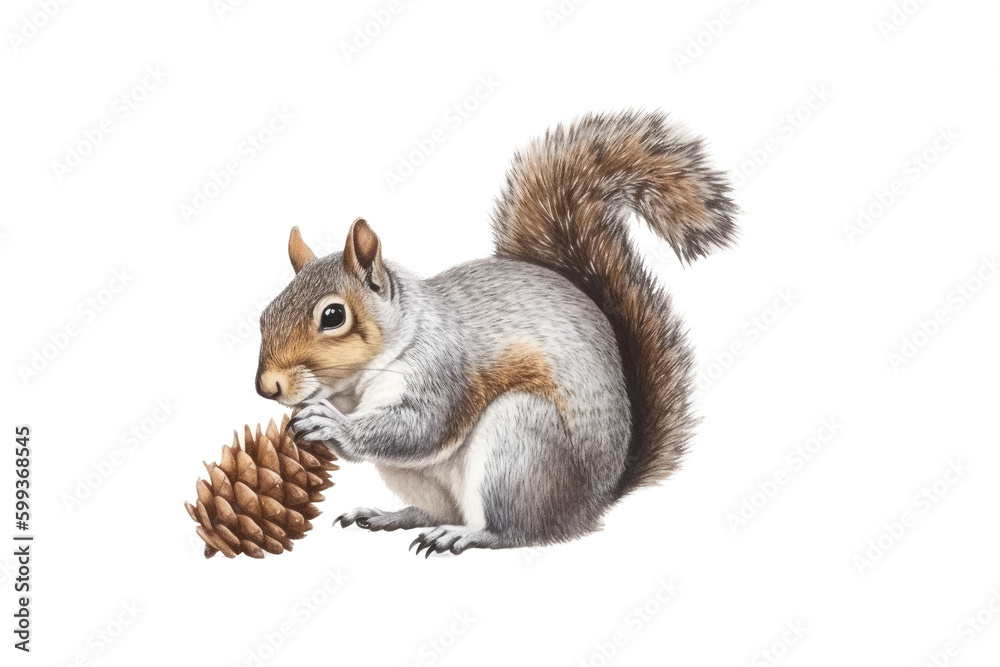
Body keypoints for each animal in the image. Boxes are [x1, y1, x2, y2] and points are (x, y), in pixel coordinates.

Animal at [256, 111, 738, 556]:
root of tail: (594, 502)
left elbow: (419, 427)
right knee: (436, 508)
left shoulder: (442, 369)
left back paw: (465, 535)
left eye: (333, 315)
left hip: (518, 446)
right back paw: (390, 515)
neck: (356, 387)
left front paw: (329, 423)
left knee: (518, 532)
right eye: (264, 315)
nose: (267, 387)